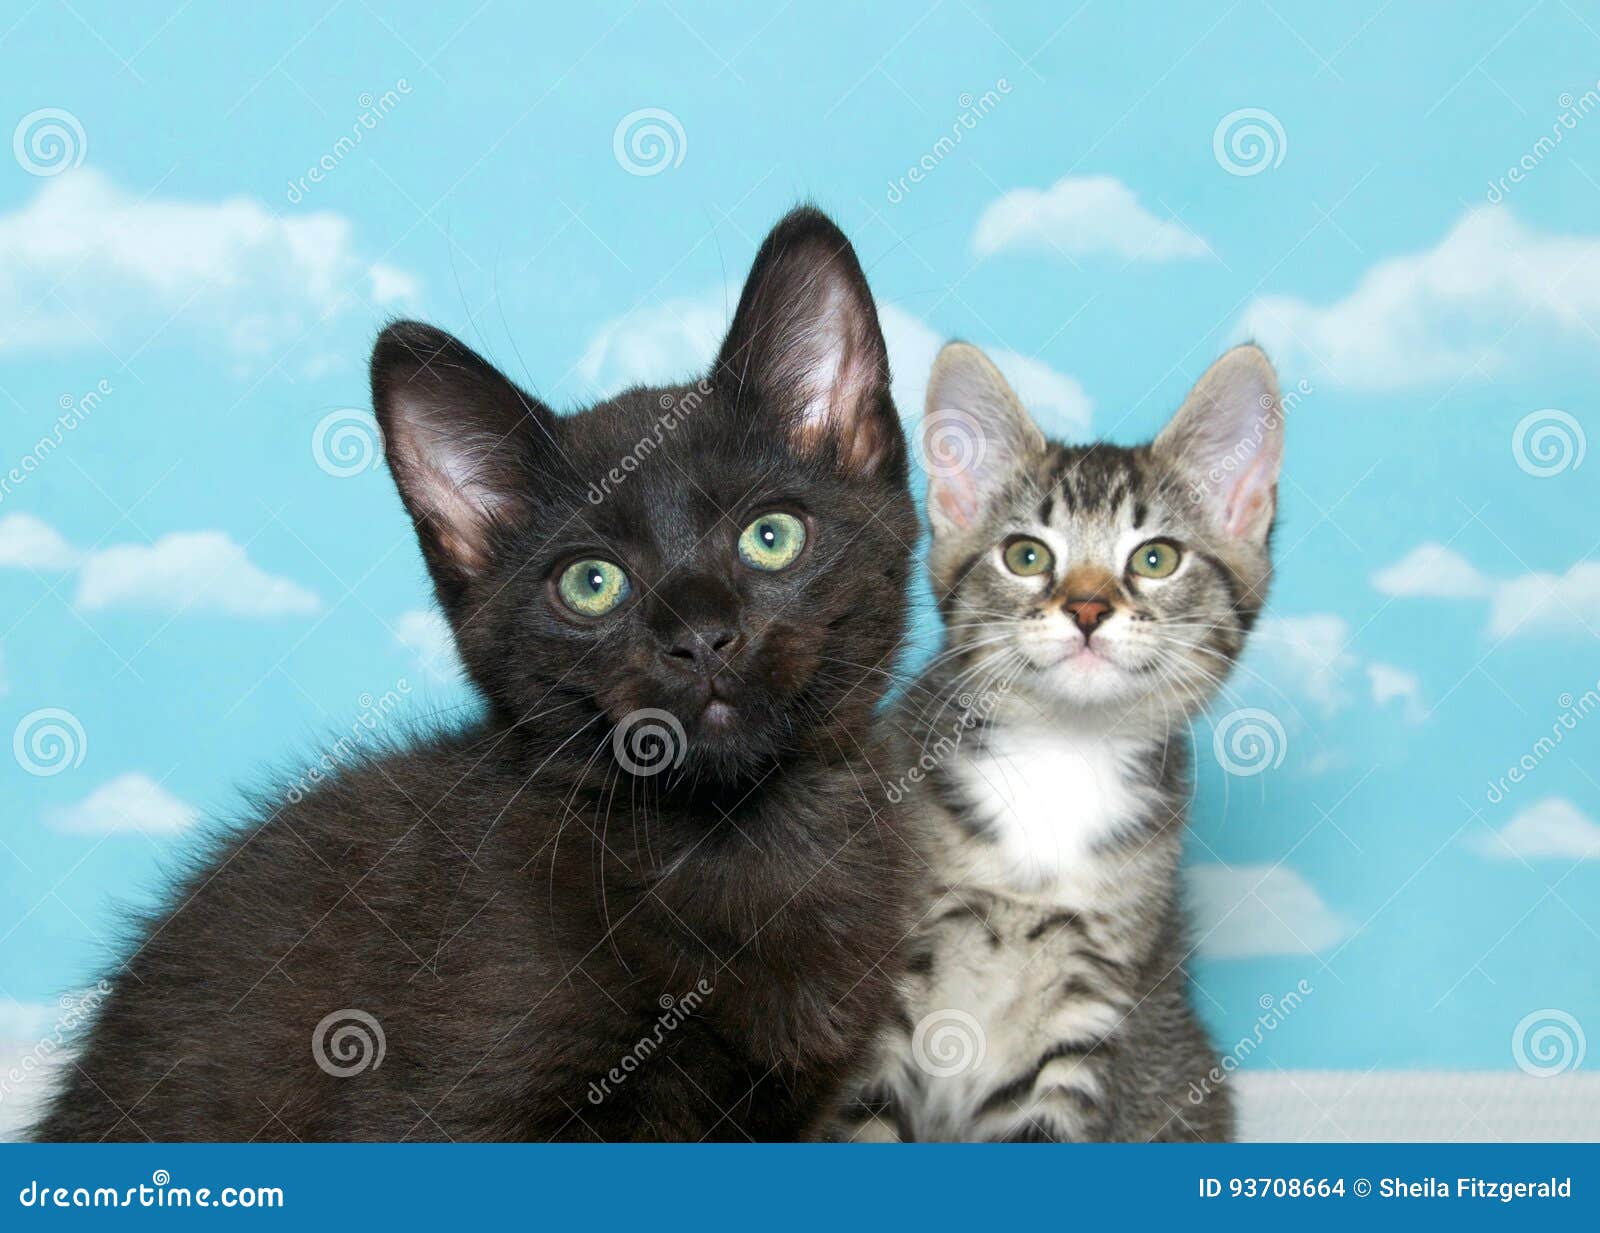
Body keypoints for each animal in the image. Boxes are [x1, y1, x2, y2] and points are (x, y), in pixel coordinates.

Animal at [832, 342, 1280, 1145]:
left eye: (1156, 558)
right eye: (1027, 556)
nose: (1089, 607)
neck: (1061, 756)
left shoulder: (1091, 998)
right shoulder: (883, 976)